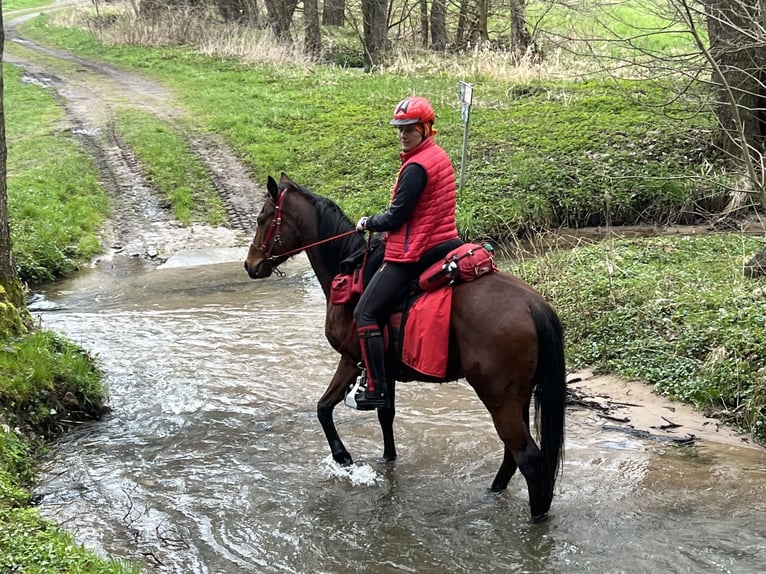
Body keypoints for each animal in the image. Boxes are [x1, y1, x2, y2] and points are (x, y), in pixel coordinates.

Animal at [244, 173, 566, 521]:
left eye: (262, 218)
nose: (250, 264)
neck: (349, 273)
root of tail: (533, 305)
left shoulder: (351, 358)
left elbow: (323, 408)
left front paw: (343, 458)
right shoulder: (383, 372)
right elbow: (385, 415)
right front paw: (388, 459)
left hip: (499, 397)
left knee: (527, 458)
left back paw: (534, 519)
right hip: (517, 397)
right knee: (513, 452)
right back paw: (493, 492)